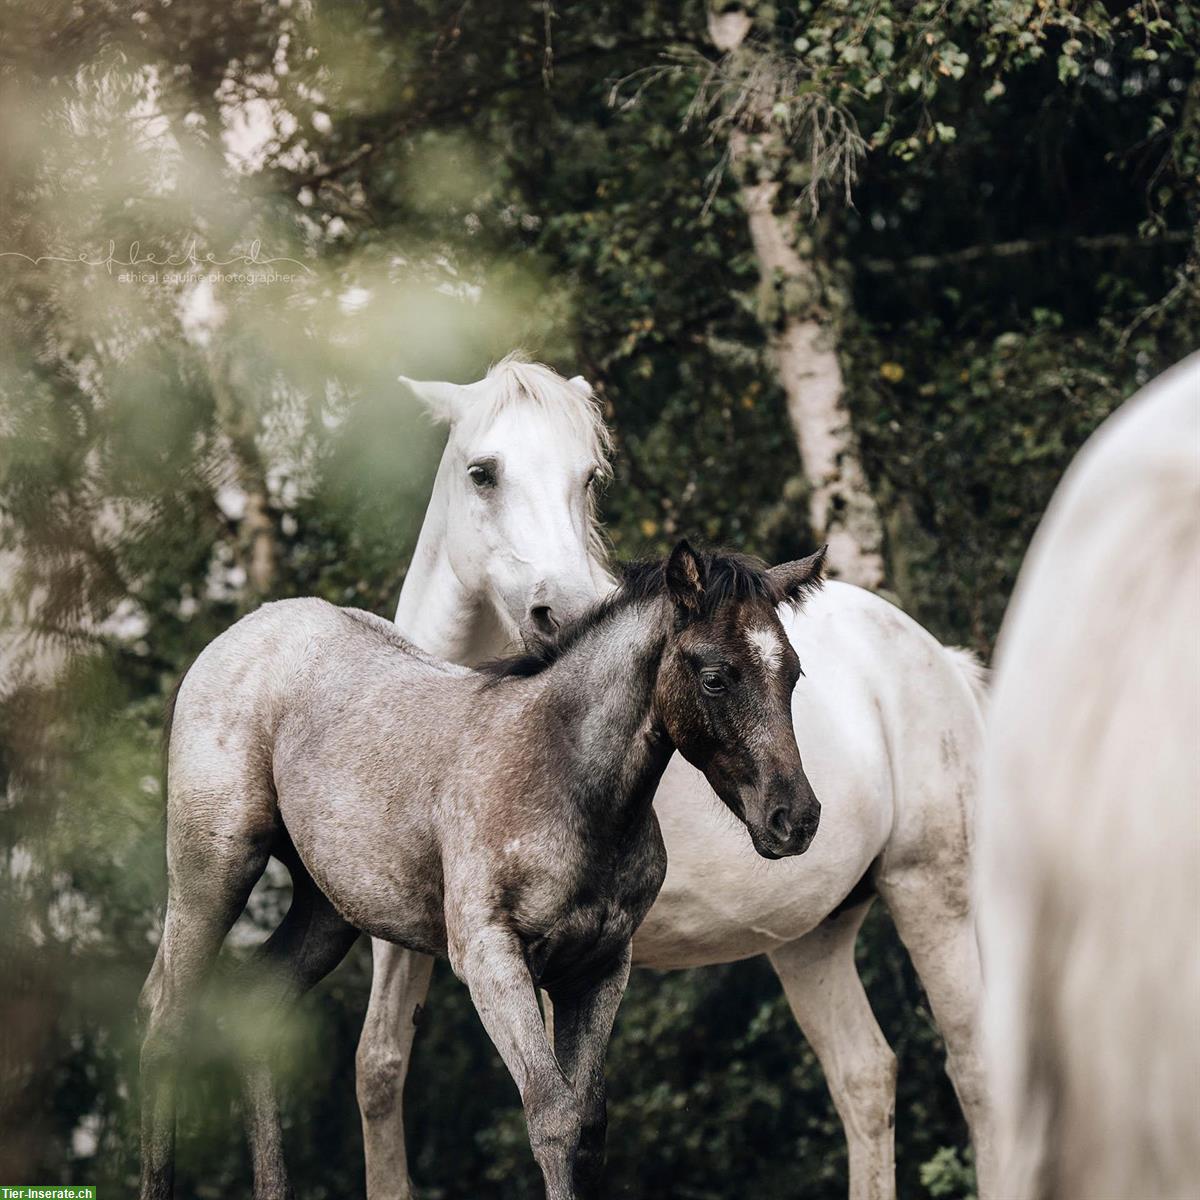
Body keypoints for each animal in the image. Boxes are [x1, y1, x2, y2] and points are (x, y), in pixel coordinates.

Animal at [136, 544, 820, 1200]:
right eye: (714, 677)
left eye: (793, 672)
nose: (796, 818)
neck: (569, 781)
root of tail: (234, 639)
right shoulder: (491, 956)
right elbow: (552, 1114)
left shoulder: (598, 968)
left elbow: (589, 1124)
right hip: (214, 870)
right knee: (164, 1029)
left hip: (326, 909)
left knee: (255, 1005)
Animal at [355, 350, 993, 1195]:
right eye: (482, 472)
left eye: (588, 476)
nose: (564, 614)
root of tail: (941, 659)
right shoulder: (408, 939)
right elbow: (379, 1071)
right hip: (812, 935)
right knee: (864, 1077)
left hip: (933, 893)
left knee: (974, 1070)